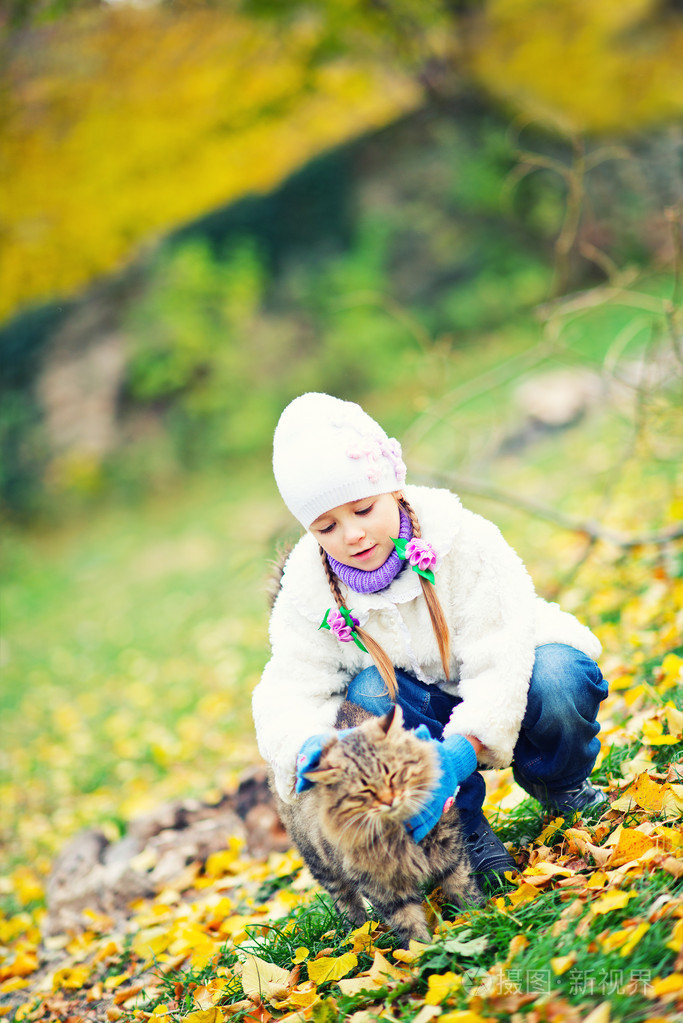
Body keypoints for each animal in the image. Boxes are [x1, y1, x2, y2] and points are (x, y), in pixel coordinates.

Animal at [269, 703, 482, 941]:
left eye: (393, 775)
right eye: (365, 791)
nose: (389, 800)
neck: (399, 834)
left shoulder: (451, 854)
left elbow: (464, 889)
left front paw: (478, 918)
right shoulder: (382, 886)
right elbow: (408, 923)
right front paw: (423, 948)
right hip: (323, 866)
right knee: (345, 902)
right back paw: (356, 933)